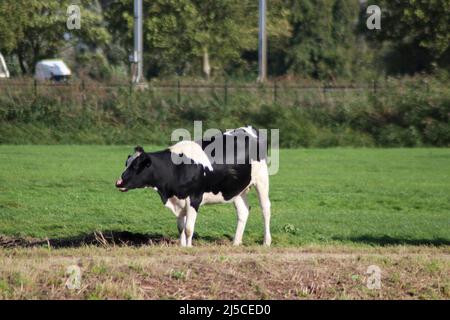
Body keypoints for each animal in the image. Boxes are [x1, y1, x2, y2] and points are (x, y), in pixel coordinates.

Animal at [115, 126, 270, 246]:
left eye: (136, 166)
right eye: (126, 163)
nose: (118, 183)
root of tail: (249, 129)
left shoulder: (194, 198)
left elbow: (189, 228)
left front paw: (189, 248)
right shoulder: (179, 199)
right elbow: (180, 227)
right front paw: (182, 246)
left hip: (261, 180)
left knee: (265, 209)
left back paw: (266, 242)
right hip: (235, 189)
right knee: (243, 211)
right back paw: (236, 242)